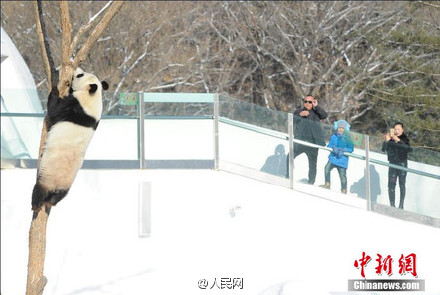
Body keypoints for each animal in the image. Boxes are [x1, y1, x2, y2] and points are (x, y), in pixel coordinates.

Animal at [31, 68, 109, 212]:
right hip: (66, 185)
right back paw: (50, 202)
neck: (93, 97)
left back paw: (35, 205)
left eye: (80, 75)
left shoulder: (76, 105)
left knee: (39, 190)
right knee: (59, 196)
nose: (77, 70)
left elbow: (54, 110)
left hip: (47, 176)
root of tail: (56, 186)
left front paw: (55, 90)